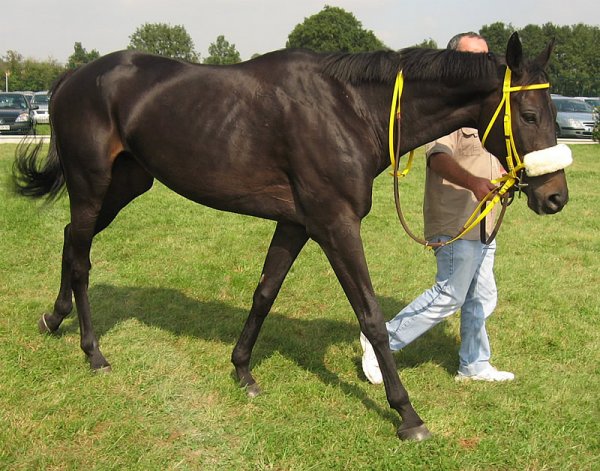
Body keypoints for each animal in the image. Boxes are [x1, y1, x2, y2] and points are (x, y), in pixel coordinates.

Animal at [12, 33, 568, 442]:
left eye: (554, 113)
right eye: (529, 115)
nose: (556, 197)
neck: (350, 109)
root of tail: (72, 78)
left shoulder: (297, 224)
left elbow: (264, 292)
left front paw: (242, 370)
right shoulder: (336, 225)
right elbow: (370, 315)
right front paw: (407, 415)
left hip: (127, 182)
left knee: (71, 239)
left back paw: (54, 318)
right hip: (91, 183)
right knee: (81, 257)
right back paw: (93, 352)